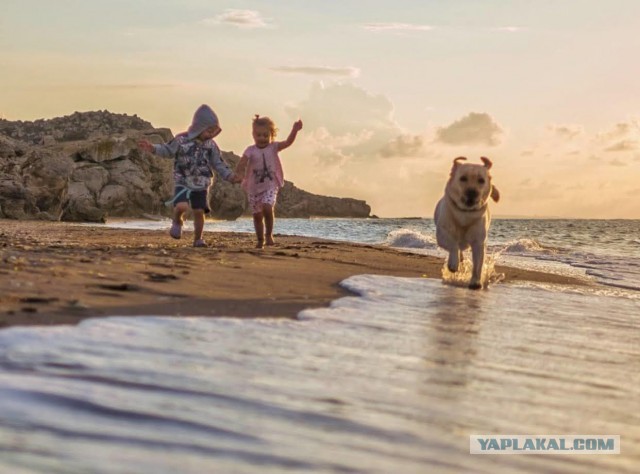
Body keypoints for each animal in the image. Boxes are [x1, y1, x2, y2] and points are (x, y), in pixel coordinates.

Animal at [436, 156, 500, 288]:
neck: (465, 213)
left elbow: (478, 263)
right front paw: (453, 264)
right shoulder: (443, 233)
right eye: (463, 178)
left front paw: (475, 281)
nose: (472, 192)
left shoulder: (478, 241)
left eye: (481, 180)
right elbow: (453, 244)